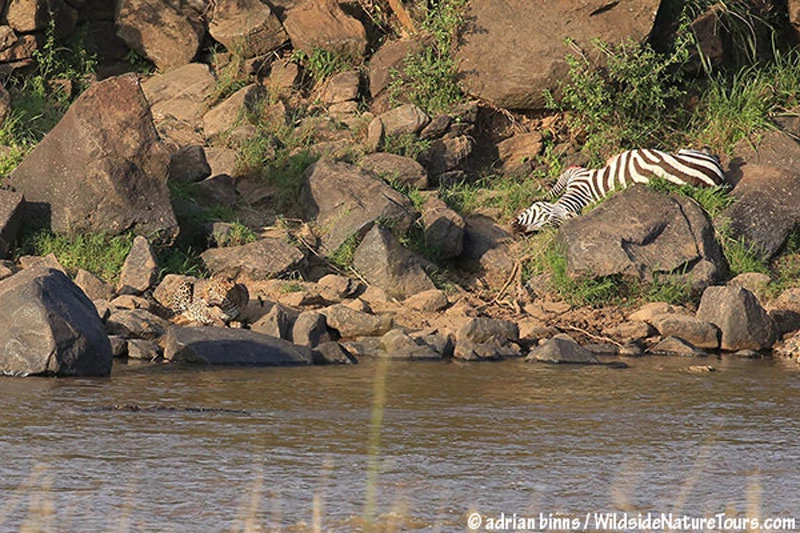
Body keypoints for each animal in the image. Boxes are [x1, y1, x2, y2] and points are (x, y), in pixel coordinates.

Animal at [512, 149, 724, 234]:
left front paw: (540, 194)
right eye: (545, 227)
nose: (516, 230)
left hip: (688, 153)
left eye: (546, 221)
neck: (583, 193)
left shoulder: (575, 173)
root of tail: (719, 180)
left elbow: (555, 188)